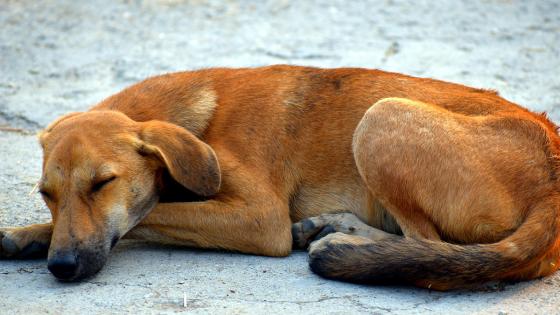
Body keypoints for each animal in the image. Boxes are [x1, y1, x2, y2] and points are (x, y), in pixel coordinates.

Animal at [1, 65, 560, 290]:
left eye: (103, 184)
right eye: (47, 194)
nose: (62, 268)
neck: (202, 121)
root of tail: (552, 168)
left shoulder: (260, 219)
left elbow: (151, 213)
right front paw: (27, 235)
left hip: (381, 117)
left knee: (432, 252)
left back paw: (352, 248)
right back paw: (337, 229)